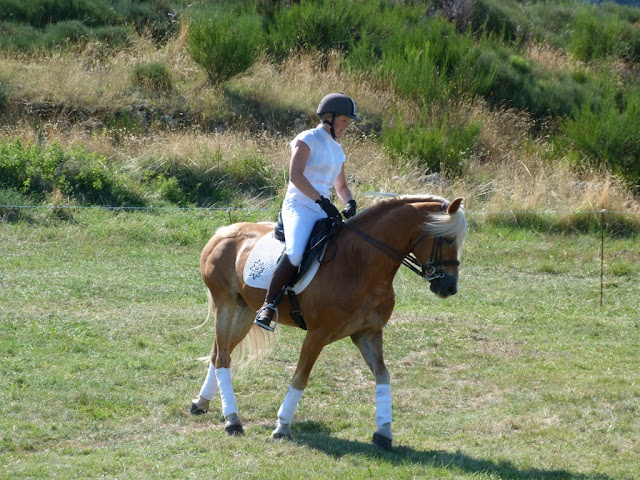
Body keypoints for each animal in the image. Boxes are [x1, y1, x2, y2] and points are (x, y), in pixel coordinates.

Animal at [189, 194, 464, 450]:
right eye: (448, 239)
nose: (450, 288)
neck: (360, 263)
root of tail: (222, 232)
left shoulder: (368, 334)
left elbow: (383, 376)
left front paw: (384, 433)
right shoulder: (317, 334)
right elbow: (301, 377)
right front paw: (282, 427)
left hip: (244, 310)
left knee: (220, 352)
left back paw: (201, 403)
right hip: (224, 304)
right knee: (222, 358)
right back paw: (232, 421)